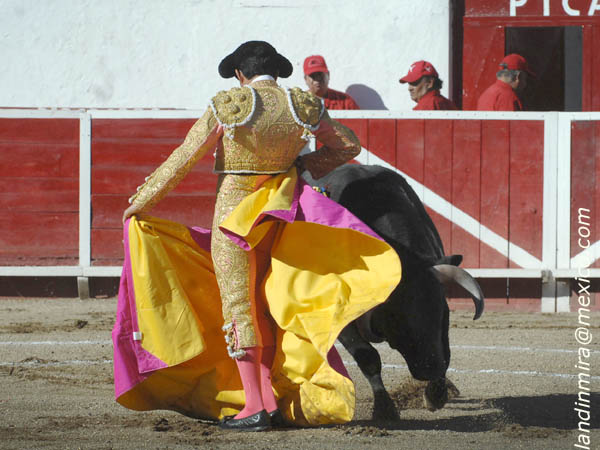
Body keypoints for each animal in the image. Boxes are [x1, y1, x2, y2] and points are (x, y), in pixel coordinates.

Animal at [312, 165, 486, 422]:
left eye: (442, 312)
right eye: (397, 316)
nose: (430, 368)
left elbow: (445, 350)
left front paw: (436, 394)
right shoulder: (339, 320)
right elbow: (368, 357)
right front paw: (384, 408)